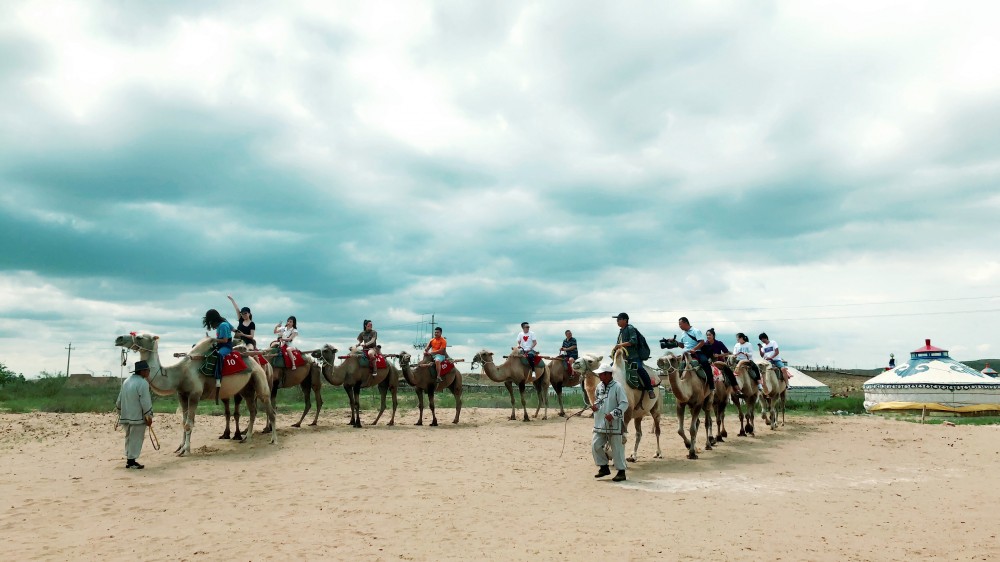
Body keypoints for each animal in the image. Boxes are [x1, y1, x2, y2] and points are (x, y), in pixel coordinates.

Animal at [115, 330, 276, 452]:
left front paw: (186, 450)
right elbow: (183, 422)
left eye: (140, 337)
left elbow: (189, 424)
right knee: (253, 411)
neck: (180, 373)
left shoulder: (194, 395)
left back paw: (273, 440)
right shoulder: (182, 394)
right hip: (246, 388)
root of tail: (255, 359)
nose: (119, 338)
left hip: (260, 378)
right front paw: (180, 447)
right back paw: (246, 438)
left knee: (270, 409)